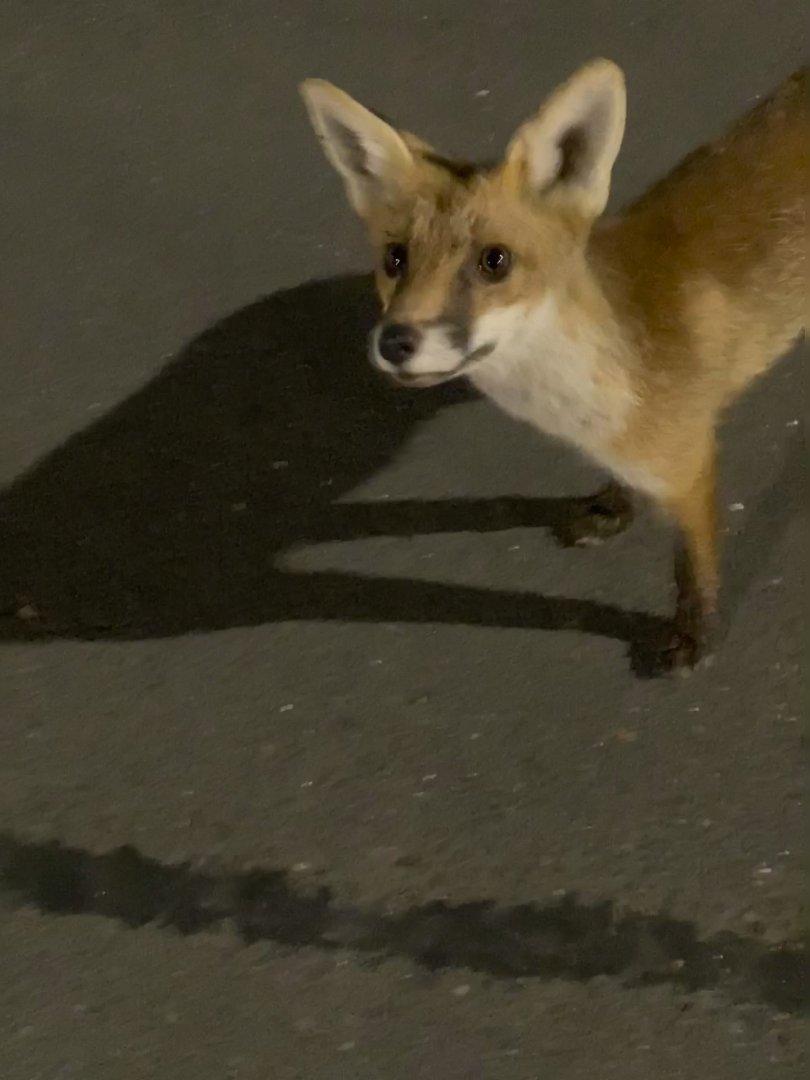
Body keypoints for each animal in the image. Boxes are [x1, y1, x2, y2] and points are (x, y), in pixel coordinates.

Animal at [300, 61, 807, 672]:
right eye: (395, 259)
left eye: (494, 261)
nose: (395, 340)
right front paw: (614, 506)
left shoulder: (690, 462)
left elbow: (693, 567)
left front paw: (695, 638)